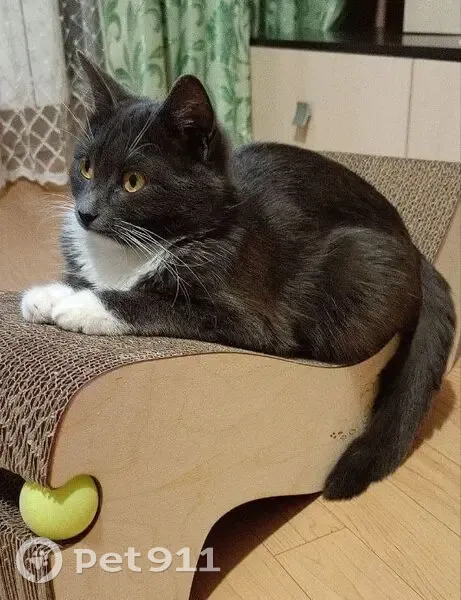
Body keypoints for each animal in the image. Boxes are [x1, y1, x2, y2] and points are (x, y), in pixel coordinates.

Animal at [21, 54, 455, 499]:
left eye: (133, 181)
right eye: (86, 167)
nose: (85, 214)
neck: (133, 248)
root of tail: (416, 248)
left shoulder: (251, 314)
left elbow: (161, 304)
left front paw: (83, 306)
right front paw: (51, 293)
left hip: (355, 263)